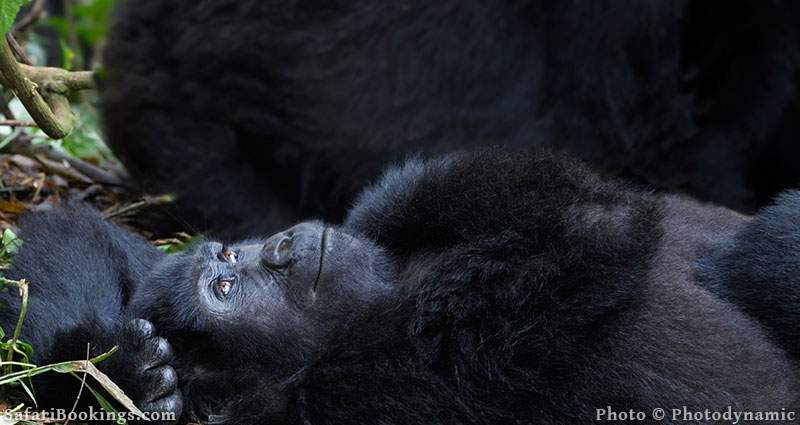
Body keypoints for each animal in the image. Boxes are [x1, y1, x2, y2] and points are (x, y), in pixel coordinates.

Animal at [1, 147, 800, 422]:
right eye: (225, 291)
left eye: (232, 254)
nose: (280, 246)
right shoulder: (417, 359)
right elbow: (592, 226)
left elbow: (74, 239)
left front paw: (104, 367)